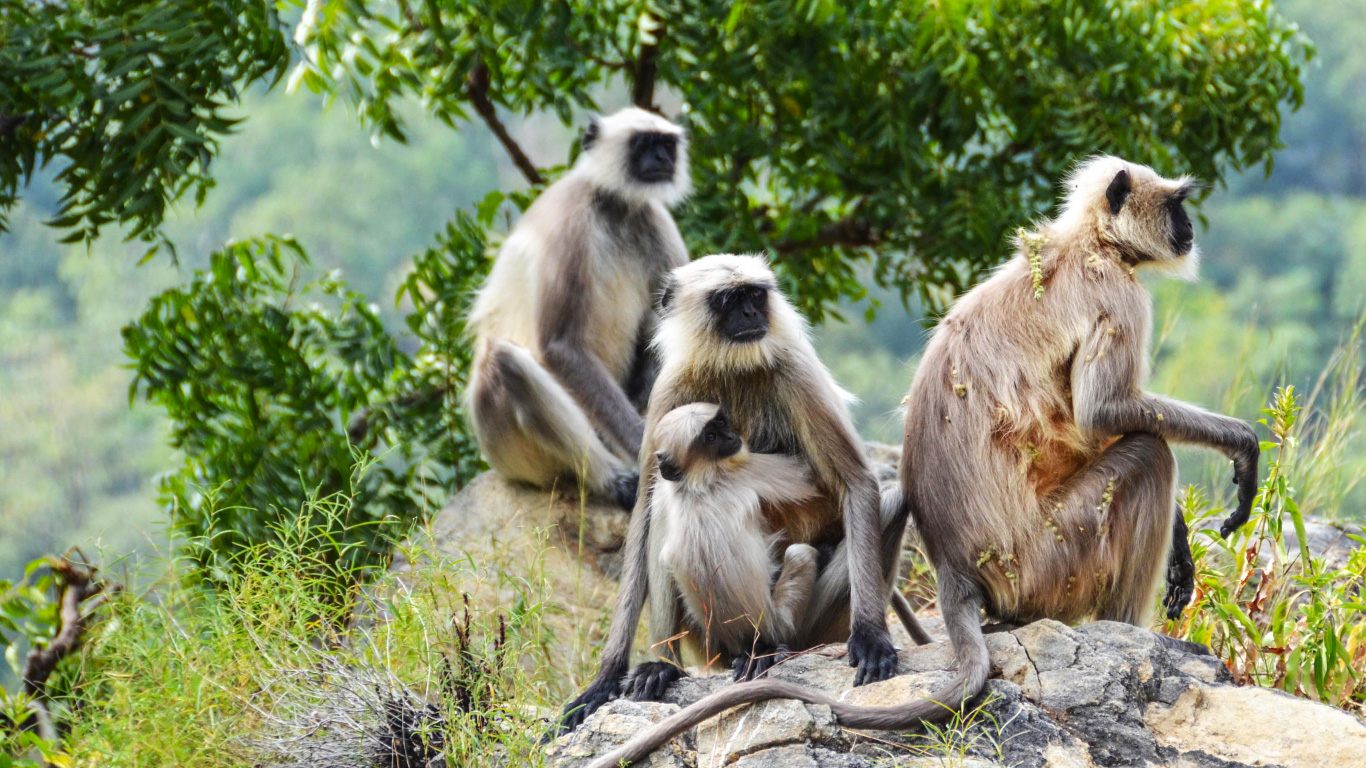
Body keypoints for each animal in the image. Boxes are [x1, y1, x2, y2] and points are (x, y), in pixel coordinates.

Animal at [467, 104, 683, 505]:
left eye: (666, 145)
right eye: (644, 144)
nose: (663, 159)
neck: (614, 205)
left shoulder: (654, 220)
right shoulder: (569, 221)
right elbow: (560, 345)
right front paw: (645, 453)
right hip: (508, 449)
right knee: (503, 360)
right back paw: (614, 481)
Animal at [560, 254, 934, 732]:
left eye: (755, 294)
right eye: (729, 300)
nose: (753, 314)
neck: (731, 366)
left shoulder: (795, 370)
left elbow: (856, 483)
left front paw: (871, 636)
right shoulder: (670, 388)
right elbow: (643, 510)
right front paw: (607, 676)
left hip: (811, 627)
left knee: (887, 500)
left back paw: (775, 651)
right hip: (706, 640)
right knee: (662, 501)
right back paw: (664, 664)